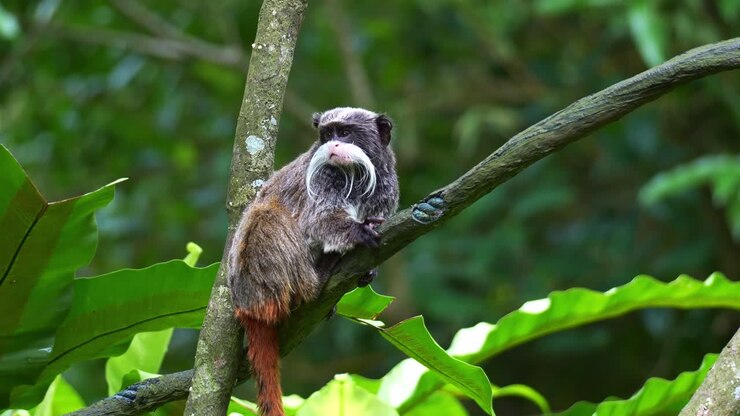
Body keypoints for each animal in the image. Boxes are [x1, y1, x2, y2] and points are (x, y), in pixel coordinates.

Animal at [227, 107, 399, 416]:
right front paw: (357, 232)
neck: (355, 174)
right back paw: (318, 279)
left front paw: (369, 270)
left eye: (345, 133)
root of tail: (246, 306)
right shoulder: (322, 180)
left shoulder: (385, 187)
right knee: (266, 215)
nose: (332, 145)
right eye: (327, 134)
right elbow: (318, 221)